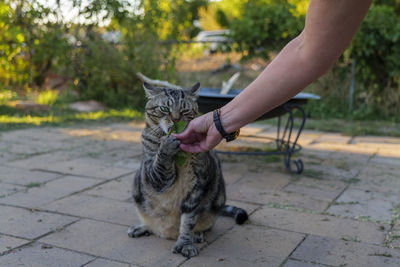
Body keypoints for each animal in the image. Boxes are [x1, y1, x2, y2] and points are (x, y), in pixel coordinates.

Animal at [128, 83, 247, 260]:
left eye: (184, 110)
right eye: (164, 108)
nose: (176, 120)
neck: (179, 155)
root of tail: (167, 233)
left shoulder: (197, 186)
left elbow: (188, 221)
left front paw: (185, 243)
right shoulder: (154, 176)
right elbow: (160, 163)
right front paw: (166, 145)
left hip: (217, 199)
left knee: (204, 225)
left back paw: (196, 235)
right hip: (137, 187)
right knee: (153, 225)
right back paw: (143, 227)